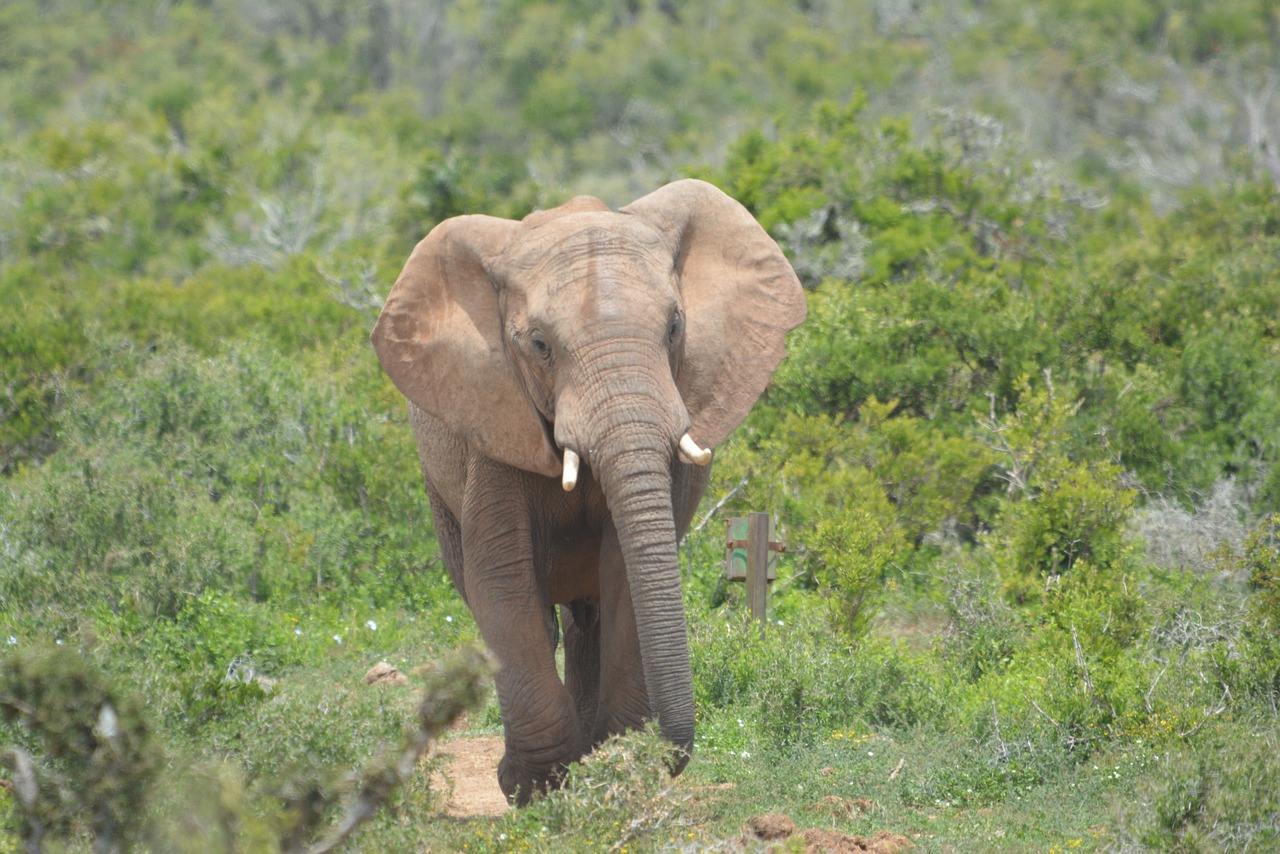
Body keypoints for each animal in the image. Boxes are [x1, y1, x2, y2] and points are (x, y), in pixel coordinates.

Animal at [371, 176, 803, 804]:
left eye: (675, 327)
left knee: (587, 621)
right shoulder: (494, 422)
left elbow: (626, 568)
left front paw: (612, 768)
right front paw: (531, 786)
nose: (671, 757)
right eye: (539, 345)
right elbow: (501, 577)